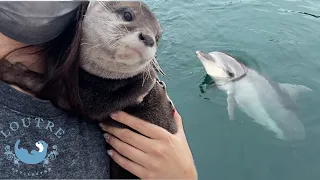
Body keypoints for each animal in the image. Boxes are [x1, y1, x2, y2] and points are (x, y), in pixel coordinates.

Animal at [0, 1, 176, 180]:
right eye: (128, 14)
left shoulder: (94, 100)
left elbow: (42, 86)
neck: (107, 80)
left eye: (157, 37)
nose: (149, 38)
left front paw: (9, 70)